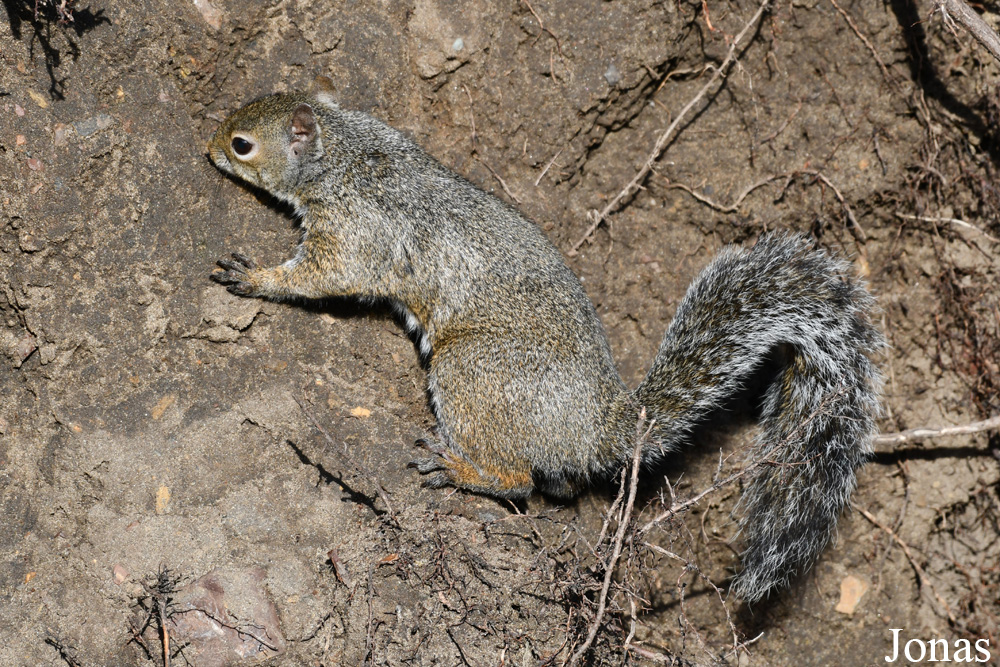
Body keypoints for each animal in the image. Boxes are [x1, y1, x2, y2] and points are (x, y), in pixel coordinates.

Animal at [205, 75, 884, 604]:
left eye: (243, 144)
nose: (209, 148)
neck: (344, 154)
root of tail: (596, 427)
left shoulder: (355, 233)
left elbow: (324, 277)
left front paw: (257, 279)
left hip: (472, 373)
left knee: (518, 482)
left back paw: (458, 468)